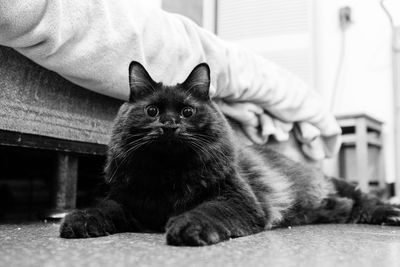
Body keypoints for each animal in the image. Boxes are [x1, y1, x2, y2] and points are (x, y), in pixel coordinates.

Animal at [59, 61, 400, 246]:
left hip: (336, 186)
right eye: (152, 111)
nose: (169, 125)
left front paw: (187, 227)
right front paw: (79, 220)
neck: (168, 174)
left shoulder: (236, 200)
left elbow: (207, 211)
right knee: (354, 208)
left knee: (366, 200)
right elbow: (102, 208)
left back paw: (392, 213)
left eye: (187, 111)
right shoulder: (129, 203)